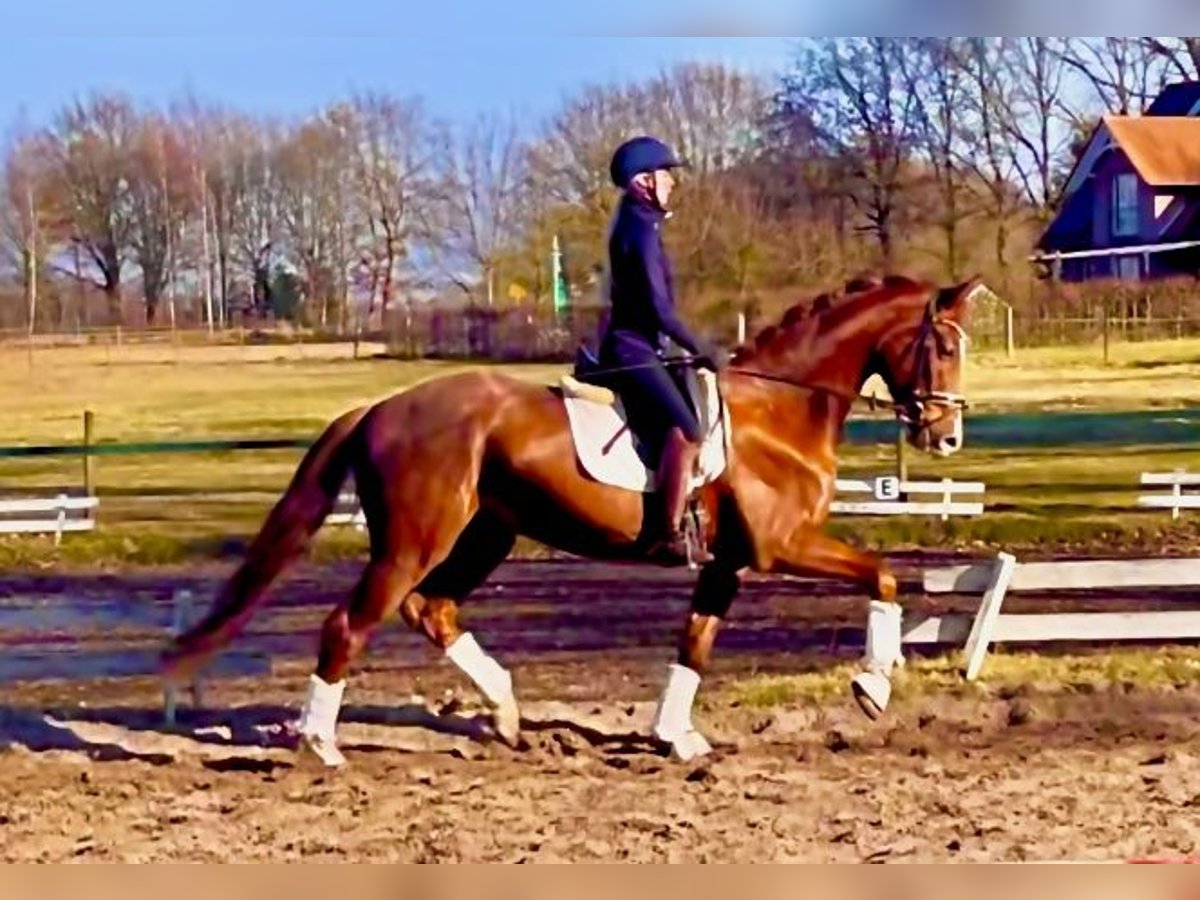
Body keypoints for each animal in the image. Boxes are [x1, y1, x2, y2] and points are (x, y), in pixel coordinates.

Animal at [162, 273, 974, 763]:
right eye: (941, 343)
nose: (947, 436)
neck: (779, 407)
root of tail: (381, 408)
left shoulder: (727, 561)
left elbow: (695, 642)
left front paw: (674, 737)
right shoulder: (784, 546)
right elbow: (884, 578)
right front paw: (872, 688)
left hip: (486, 532)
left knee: (433, 609)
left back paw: (506, 715)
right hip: (415, 541)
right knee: (351, 623)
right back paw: (320, 744)